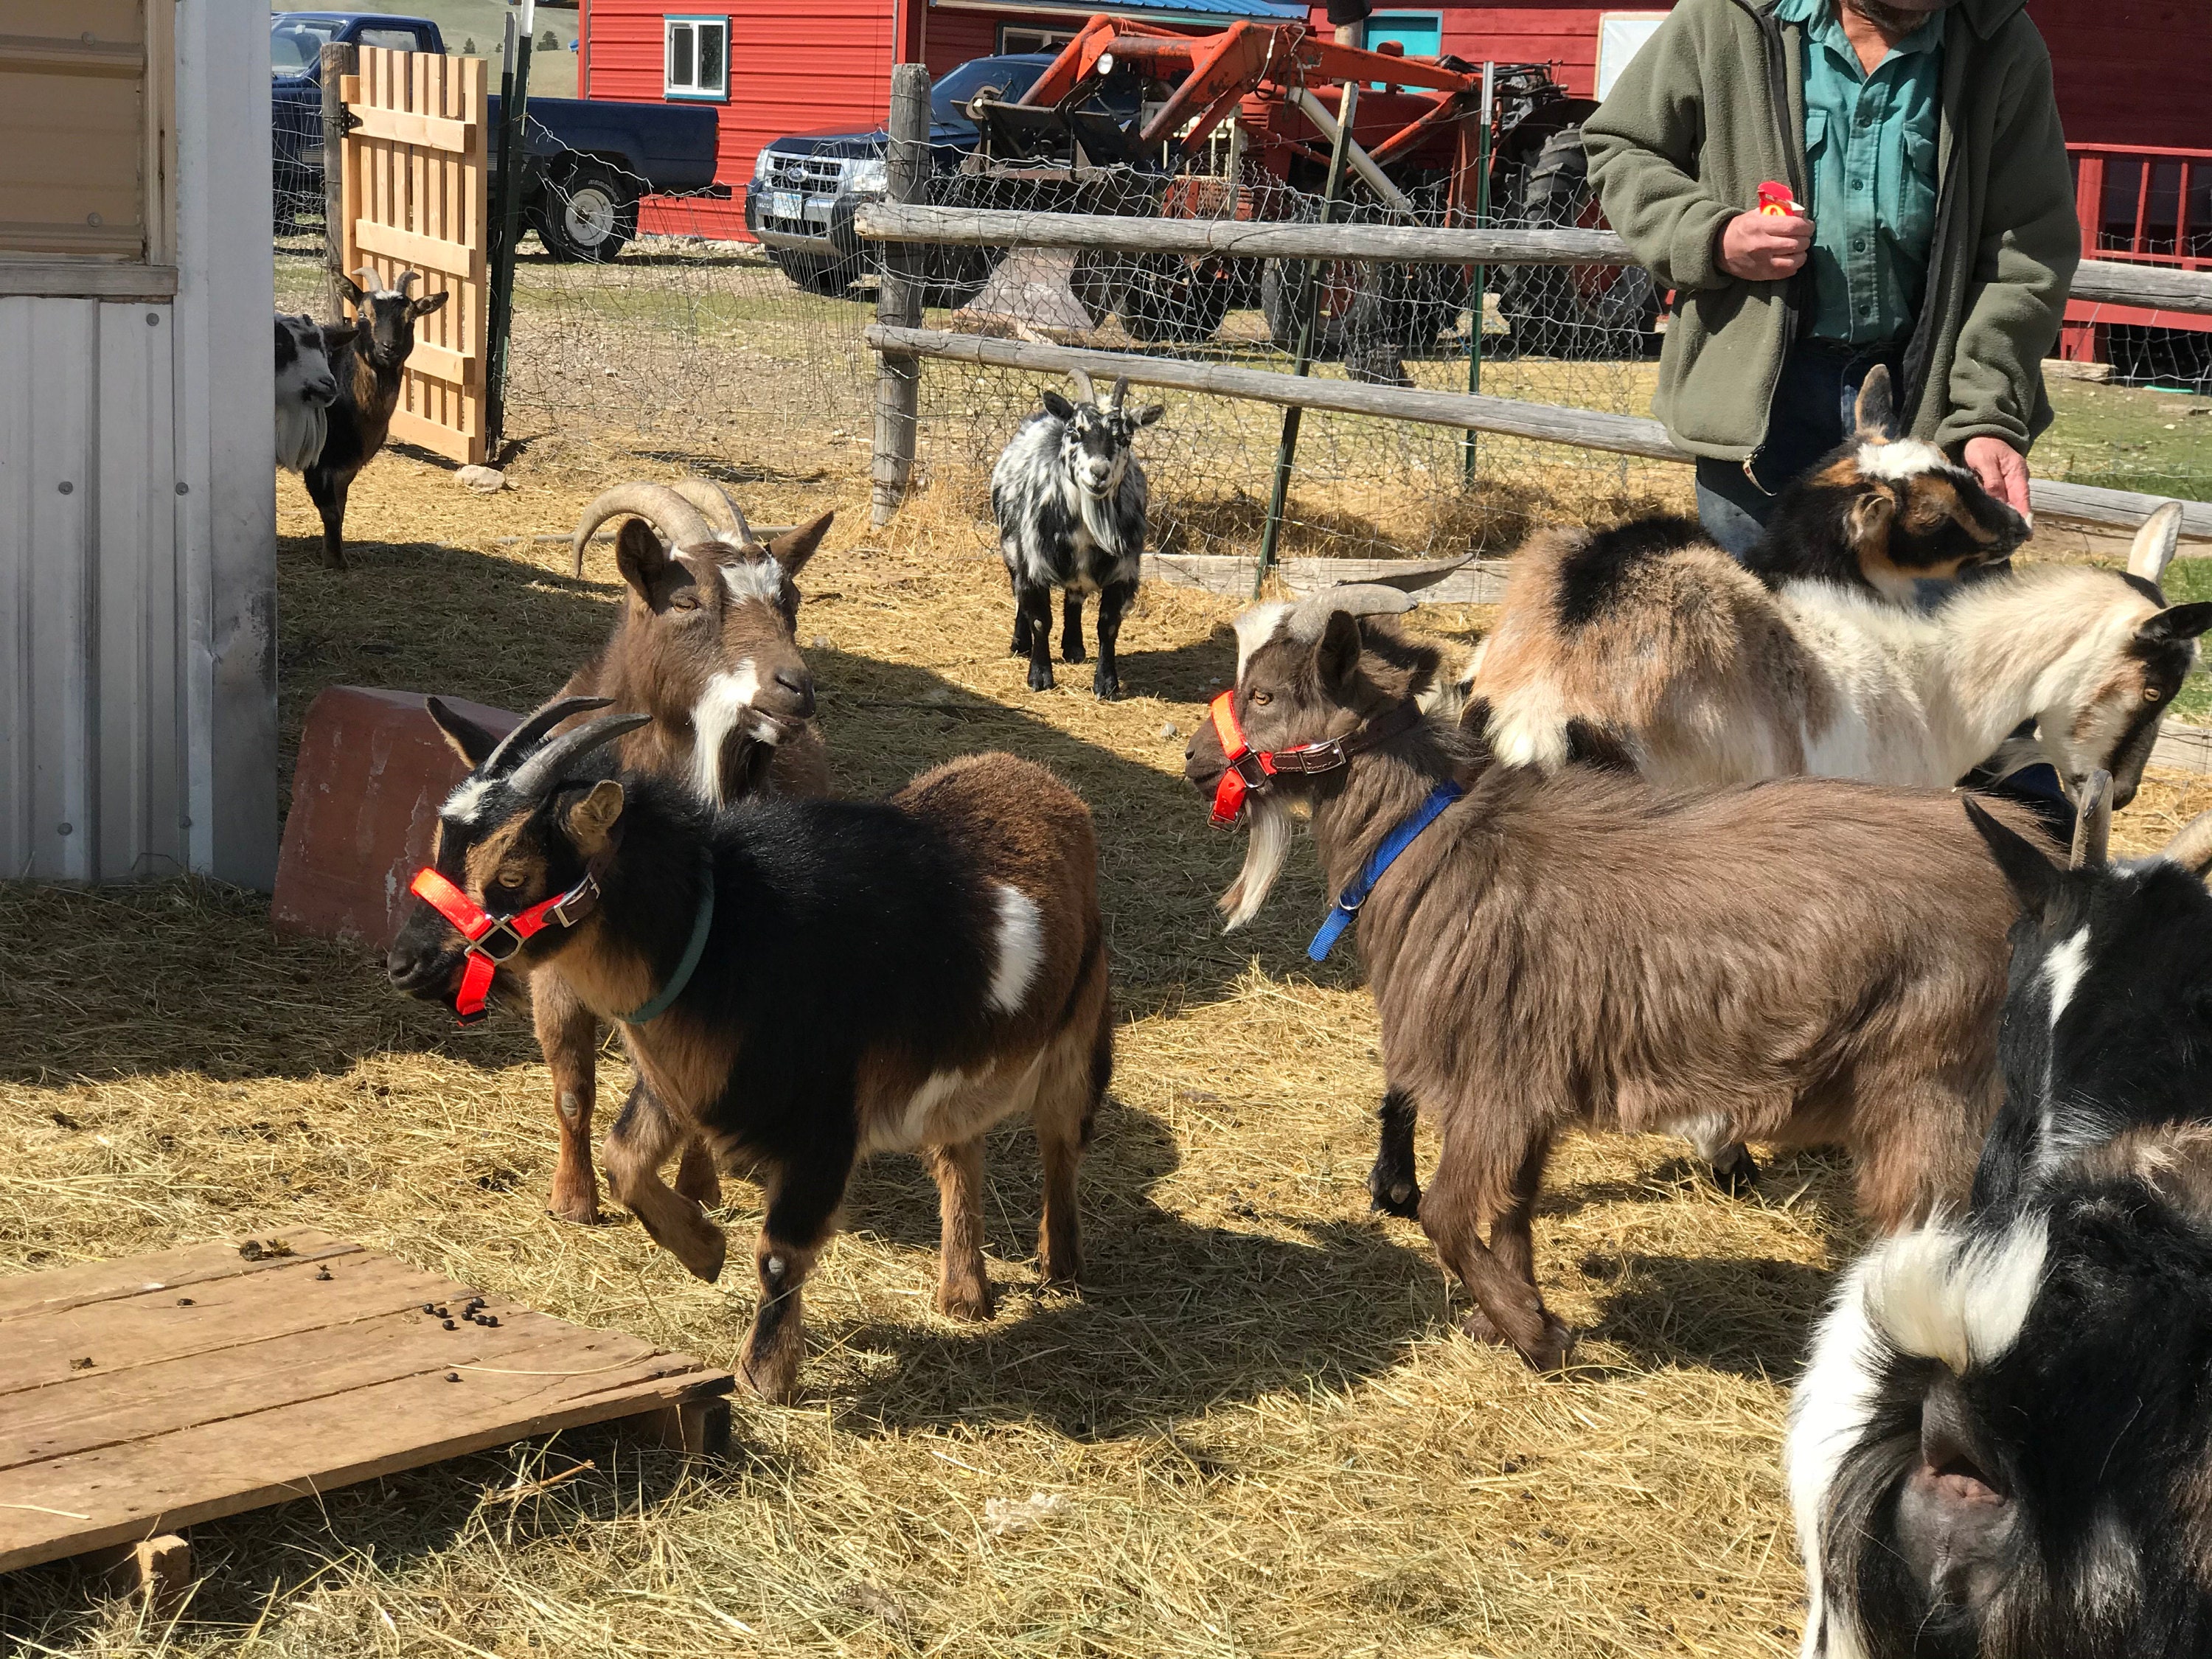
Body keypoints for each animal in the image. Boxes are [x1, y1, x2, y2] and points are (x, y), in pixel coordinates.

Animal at [303, 265, 449, 570]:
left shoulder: (346, 466)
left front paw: (333, 553)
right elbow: (331, 511)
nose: (388, 348)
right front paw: (336, 562)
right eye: (362, 314)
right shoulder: (317, 461)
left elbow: (341, 508)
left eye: (411, 319)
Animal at [388, 699, 1112, 1403]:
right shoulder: (687, 1075)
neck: (724, 936)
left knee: (1060, 1140)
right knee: (959, 1150)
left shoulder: (825, 1120)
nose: (406, 963)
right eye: (441, 846)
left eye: (513, 871)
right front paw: (704, 1250)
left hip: (1079, 1030)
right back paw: (964, 1294)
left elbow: (780, 1252)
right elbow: (625, 1160)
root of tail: (1042, 781)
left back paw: (1061, 1265)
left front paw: (764, 1375)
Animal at [389, 479, 834, 1225]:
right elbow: (573, 1084)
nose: (793, 688)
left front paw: (698, 1189)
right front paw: (572, 1200)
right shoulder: (554, 975)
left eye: (791, 600)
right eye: (686, 601)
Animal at [991, 368, 1163, 700]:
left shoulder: (1123, 572)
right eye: (1075, 431)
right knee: (1018, 591)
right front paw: (1040, 676)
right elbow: (1039, 619)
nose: (1098, 473)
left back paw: (1073, 647)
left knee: (1074, 596)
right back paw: (1020, 644)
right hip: (1010, 547)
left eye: (1125, 436)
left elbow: (1109, 626)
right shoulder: (1033, 562)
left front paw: (1106, 684)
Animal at [1184, 588, 2035, 1371]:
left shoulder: (1495, 1078)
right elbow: (1514, 1210)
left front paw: (1534, 1335)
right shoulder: (1533, 1083)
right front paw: (1513, 1316)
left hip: (1930, 1084)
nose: (1194, 758)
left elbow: (1448, 1214)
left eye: (1264, 695)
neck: (1429, 839)